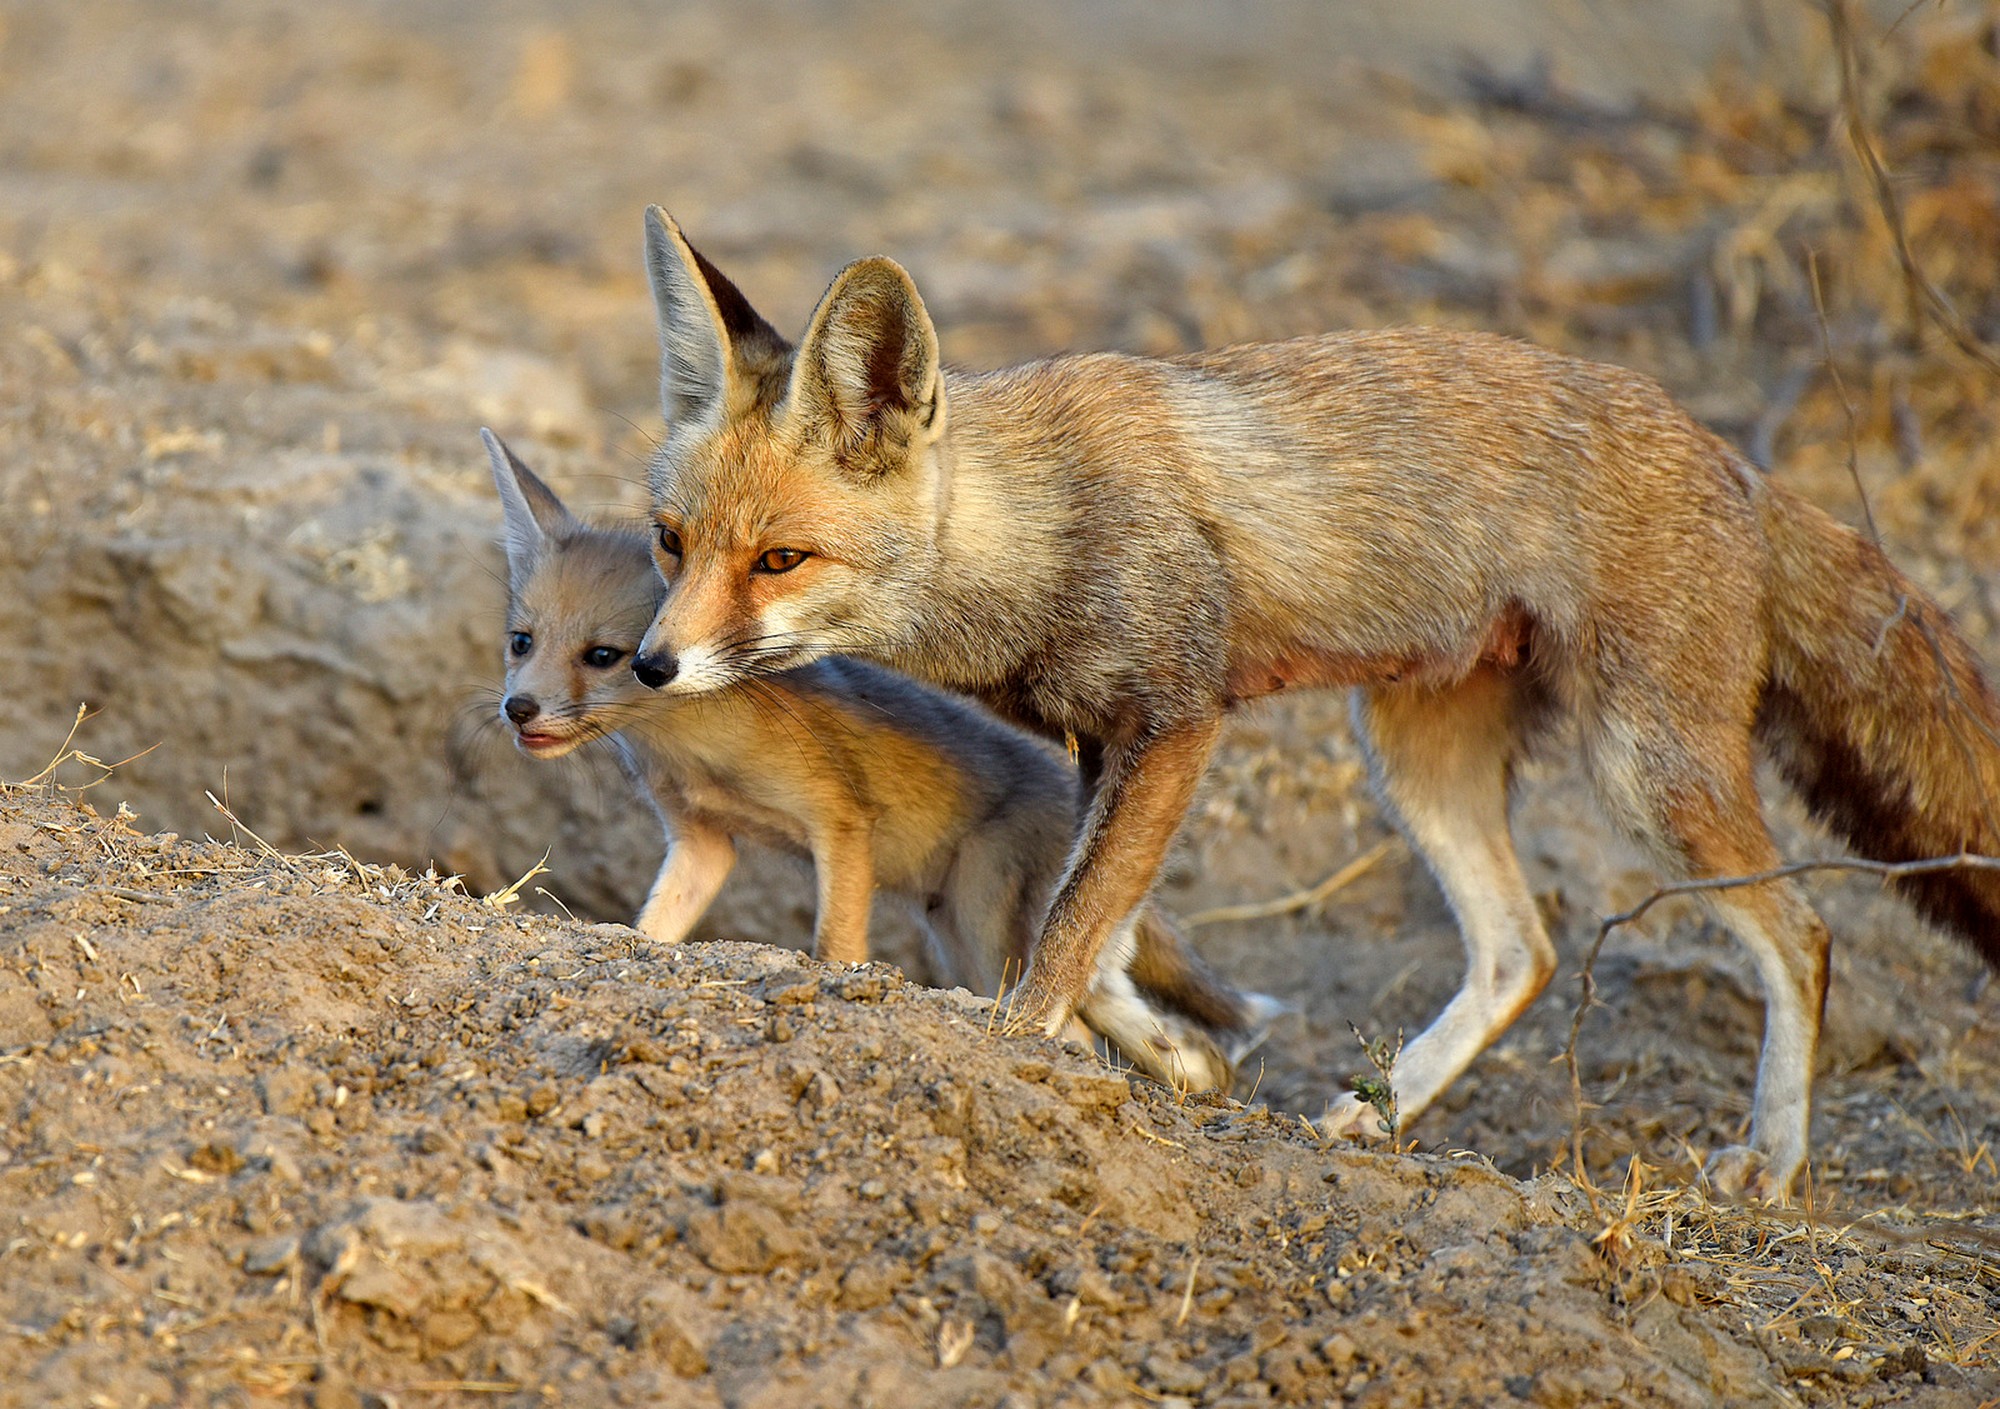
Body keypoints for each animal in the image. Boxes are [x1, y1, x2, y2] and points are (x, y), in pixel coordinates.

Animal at [482, 428, 1278, 1093]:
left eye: (604, 657)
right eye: (521, 641)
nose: (518, 709)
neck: (699, 746)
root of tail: (1067, 783)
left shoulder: (840, 823)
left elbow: (835, 945)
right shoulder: (702, 843)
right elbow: (655, 928)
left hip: (986, 937)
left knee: (1075, 1026)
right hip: (973, 939)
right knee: (1156, 1032)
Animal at [625, 207, 2000, 1201]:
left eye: (779, 560)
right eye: (670, 542)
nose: (647, 665)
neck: (1038, 528)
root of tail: (1734, 459)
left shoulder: (1175, 720)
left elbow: (1065, 937)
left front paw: (1017, 1051)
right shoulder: (1099, 744)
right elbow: (1100, 936)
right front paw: (1175, 1058)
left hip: (1640, 770)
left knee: (1800, 937)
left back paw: (1770, 1162)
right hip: (1413, 759)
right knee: (1521, 948)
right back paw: (1376, 1115)